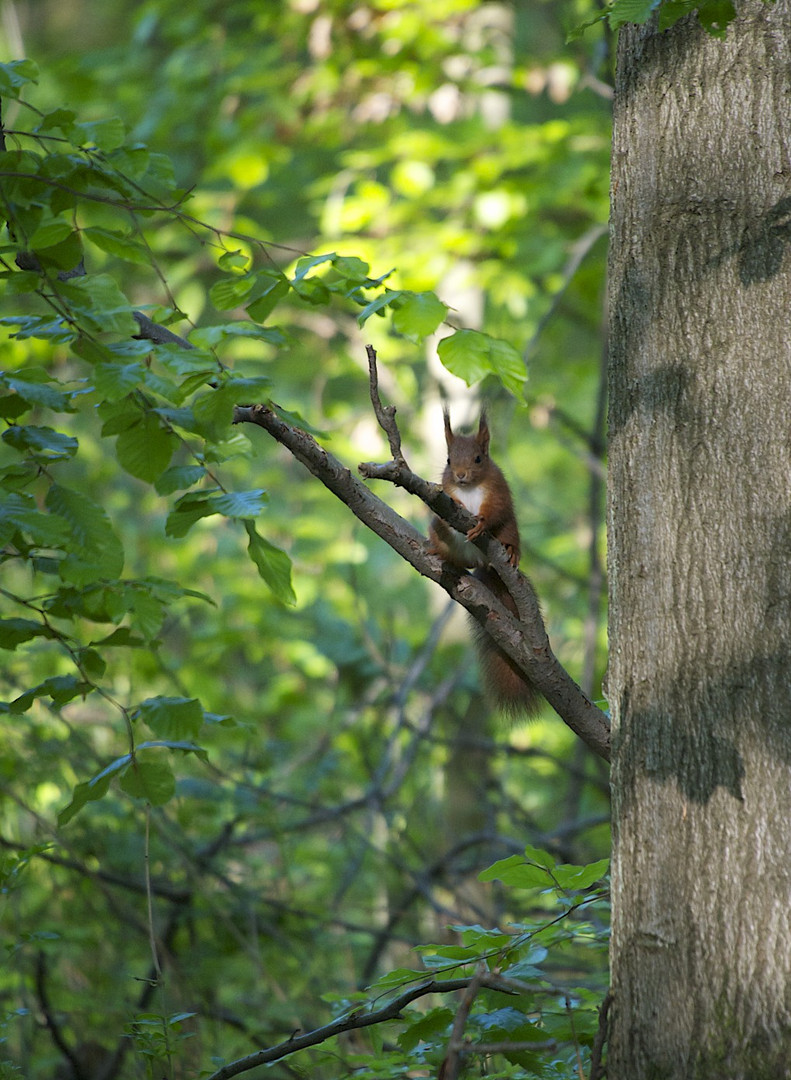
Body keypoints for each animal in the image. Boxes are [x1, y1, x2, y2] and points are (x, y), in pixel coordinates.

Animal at [425, 408, 544, 721]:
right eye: (449, 460)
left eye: (479, 459)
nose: (461, 475)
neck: (470, 489)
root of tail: (481, 561)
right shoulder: (446, 489)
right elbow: (445, 502)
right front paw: (454, 507)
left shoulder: (498, 490)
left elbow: (495, 511)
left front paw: (480, 523)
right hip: (449, 545)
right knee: (451, 549)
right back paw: (439, 551)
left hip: (510, 531)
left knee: (507, 536)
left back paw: (511, 553)